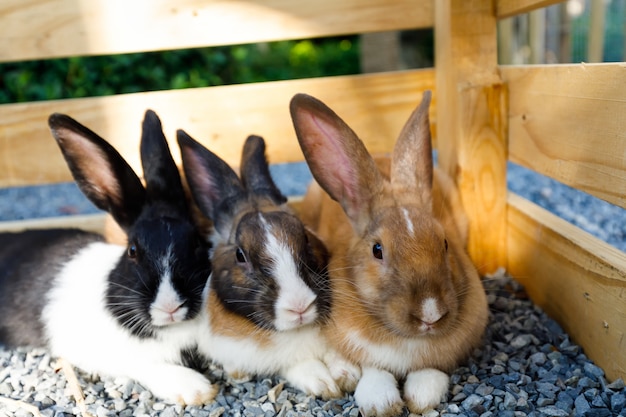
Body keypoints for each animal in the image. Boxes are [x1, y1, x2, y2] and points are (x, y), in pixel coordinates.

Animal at [178, 132, 358, 396]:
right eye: (240, 255)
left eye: (305, 236)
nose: (300, 306)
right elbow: (297, 364)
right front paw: (324, 385)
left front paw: (348, 375)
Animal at [288, 92, 488, 416]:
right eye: (377, 250)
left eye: (445, 242)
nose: (430, 314)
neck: (406, 341)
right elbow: (374, 370)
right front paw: (382, 404)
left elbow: (430, 370)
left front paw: (420, 399)